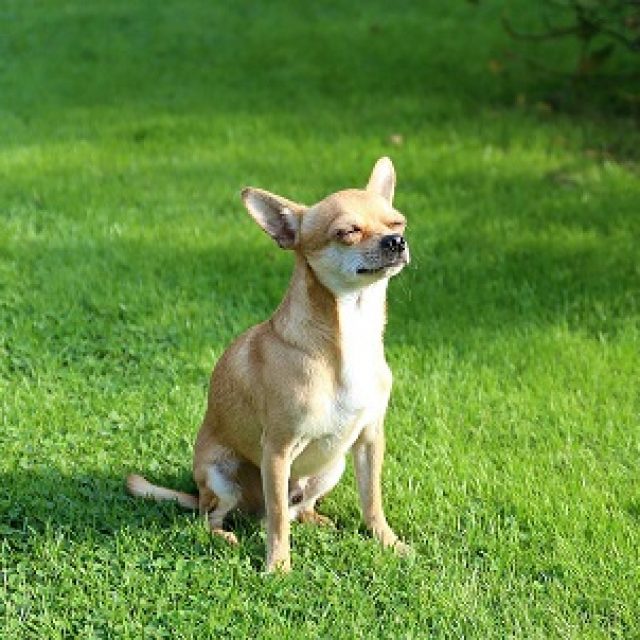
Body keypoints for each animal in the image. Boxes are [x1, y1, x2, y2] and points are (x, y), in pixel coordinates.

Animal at [127, 157, 410, 572]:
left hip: (332, 466)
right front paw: (278, 567)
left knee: (294, 508)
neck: (350, 335)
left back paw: (316, 519)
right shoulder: (276, 449)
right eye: (347, 232)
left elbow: (372, 500)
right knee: (219, 516)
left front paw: (388, 543)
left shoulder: (370, 440)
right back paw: (225, 536)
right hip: (221, 475)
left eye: (397, 223)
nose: (395, 241)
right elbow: (278, 520)